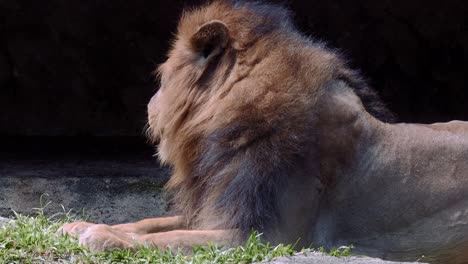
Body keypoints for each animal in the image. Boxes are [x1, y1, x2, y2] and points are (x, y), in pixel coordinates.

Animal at [58, 1, 468, 262]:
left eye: (162, 79)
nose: (149, 103)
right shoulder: (221, 209)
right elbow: (150, 222)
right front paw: (78, 225)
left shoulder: (262, 236)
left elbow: (170, 237)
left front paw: (102, 236)